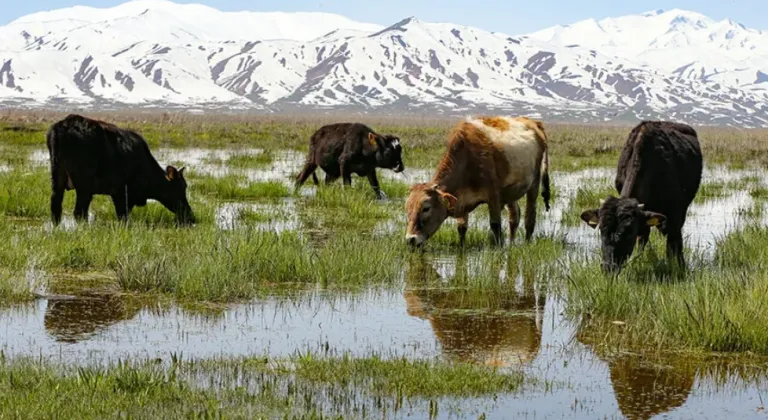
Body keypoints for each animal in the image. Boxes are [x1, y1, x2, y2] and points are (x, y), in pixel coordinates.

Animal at [46, 113, 195, 226]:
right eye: (181, 187)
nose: (190, 217)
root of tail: (63, 125)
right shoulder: (122, 192)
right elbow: (123, 216)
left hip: (57, 178)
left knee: (55, 207)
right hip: (84, 185)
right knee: (79, 212)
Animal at [404, 115, 548, 248]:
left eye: (426, 208)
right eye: (407, 208)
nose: (410, 239)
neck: (467, 160)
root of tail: (533, 122)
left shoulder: (493, 196)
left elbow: (495, 226)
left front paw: (499, 249)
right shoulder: (461, 200)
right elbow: (461, 228)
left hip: (534, 184)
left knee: (530, 218)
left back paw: (526, 243)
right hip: (510, 192)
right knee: (514, 217)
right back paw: (511, 244)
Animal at [580, 121, 704, 272]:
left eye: (629, 232)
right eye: (601, 229)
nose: (609, 267)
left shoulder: (676, 214)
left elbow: (674, 243)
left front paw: (679, 266)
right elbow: (643, 238)